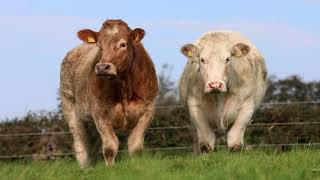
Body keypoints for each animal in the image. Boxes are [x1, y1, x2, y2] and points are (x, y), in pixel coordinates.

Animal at [59, 19, 158, 167]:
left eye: (123, 44)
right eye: (99, 45)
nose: (102, 67)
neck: (124, 89)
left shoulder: (148, 110)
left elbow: (135, 146)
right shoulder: (99, 112)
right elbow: (110, 147)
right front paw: (111, 169)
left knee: (91, 147)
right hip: (71, 110)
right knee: (80, 145)